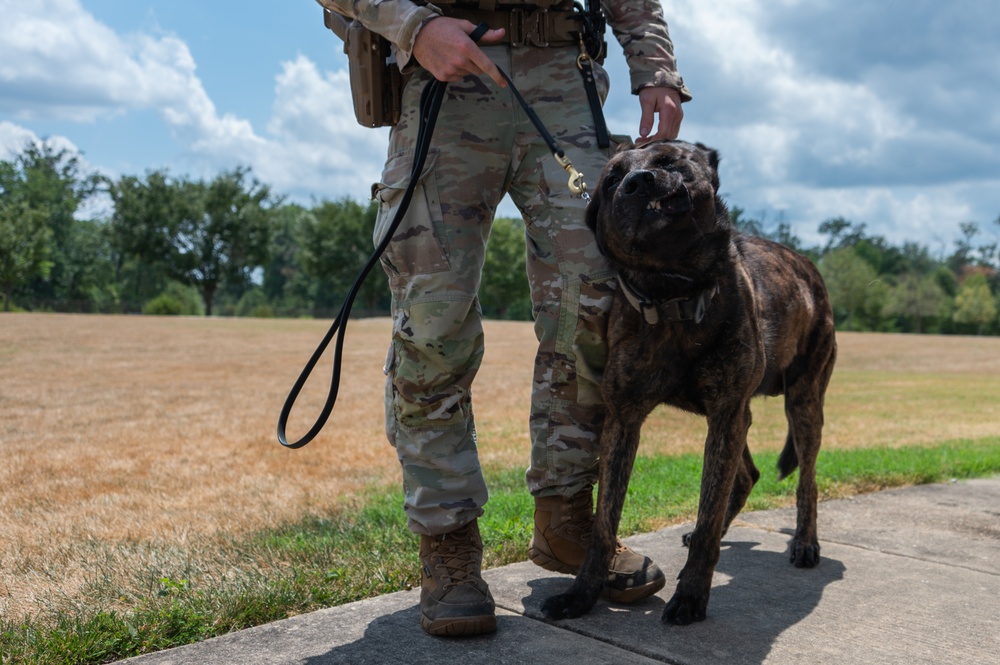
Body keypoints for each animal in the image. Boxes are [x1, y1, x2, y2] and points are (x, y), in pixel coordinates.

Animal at [540, 139, 836, 624]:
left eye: (668, 160)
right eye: (611, 179)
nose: (638, 183)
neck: (673, 293)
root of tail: (807, 265)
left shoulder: (726, 414)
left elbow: (709, 512)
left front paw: (692, 595)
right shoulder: (625, 420)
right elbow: (605, 523)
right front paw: (581, 594)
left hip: (801, 403)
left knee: (806, 480)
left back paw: (805, 543)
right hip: (738, 418)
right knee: (746, 476)